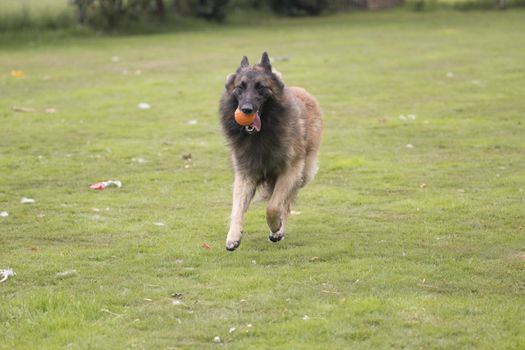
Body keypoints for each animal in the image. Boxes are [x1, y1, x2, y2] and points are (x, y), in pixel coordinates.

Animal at [219, 52, 322, 252]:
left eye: (261, 87)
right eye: (240, 87)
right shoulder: (245, 174)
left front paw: (275, 227)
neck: (262, 135)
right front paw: (233, 237)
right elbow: (237, 208)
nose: (246, 110)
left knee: (285, 204)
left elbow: (274, 207)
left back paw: (279, 231)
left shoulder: (290, 171)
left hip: (303, 174)